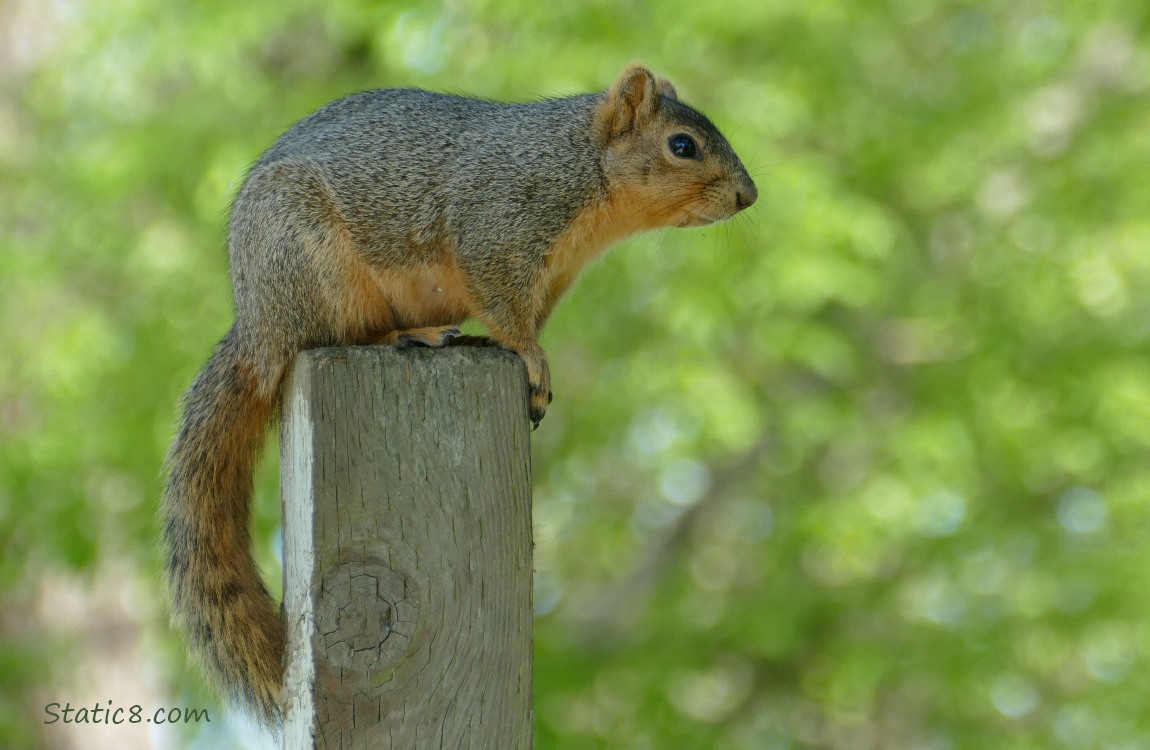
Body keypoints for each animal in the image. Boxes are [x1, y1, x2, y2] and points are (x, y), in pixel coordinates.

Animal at [159, 65, 754, 726]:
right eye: (682, 145)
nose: (748, 196)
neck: (581, 166)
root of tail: (256, 329)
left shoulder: (555, 274)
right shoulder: (497, 224)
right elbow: (507, 310)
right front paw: (531, 361)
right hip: (311, 265)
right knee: (333, 334)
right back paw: (407, 334)